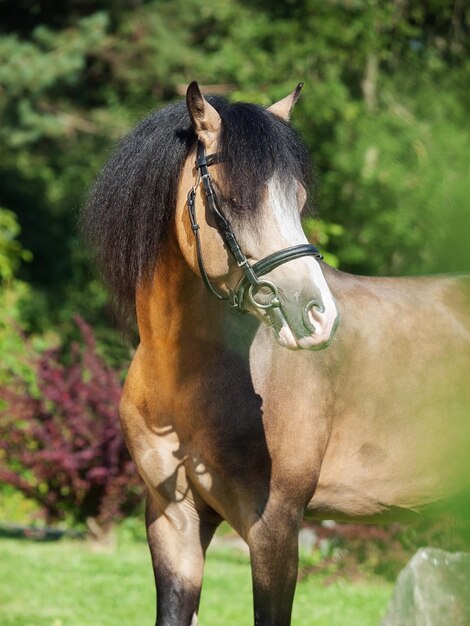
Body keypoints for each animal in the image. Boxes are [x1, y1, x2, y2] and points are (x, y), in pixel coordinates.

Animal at [82, 83, 468, 624]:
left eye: (298, 199)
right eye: (232, 200)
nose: (317, 316)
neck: (189, 382)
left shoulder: (276, 528)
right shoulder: (173, 522)